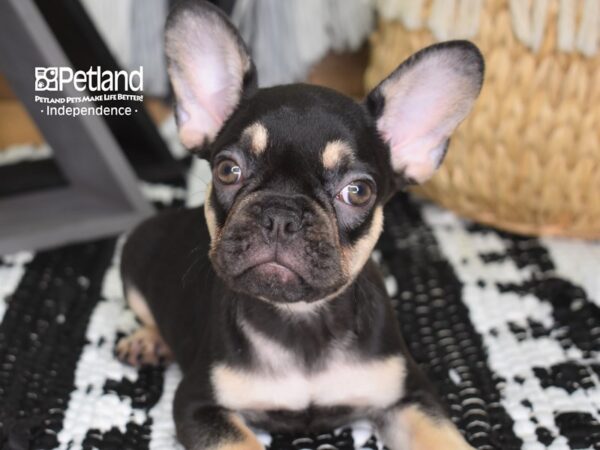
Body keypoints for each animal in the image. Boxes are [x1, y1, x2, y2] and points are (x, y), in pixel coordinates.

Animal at [117, 1, 482, 448]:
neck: (301, 320)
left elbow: (443, 437)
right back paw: (146, 340)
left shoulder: (409, 396)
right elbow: (241, 440)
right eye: (227, 170)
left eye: (358, 191)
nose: (281, 216)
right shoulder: (200, 405)